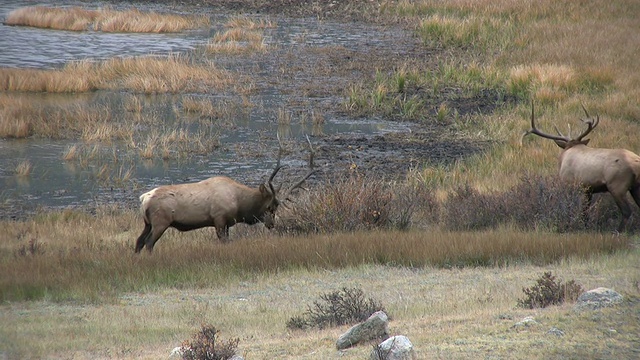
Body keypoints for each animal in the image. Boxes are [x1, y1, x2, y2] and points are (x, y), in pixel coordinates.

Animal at [134, 136, 316, 253]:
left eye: (277, 207)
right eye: (269, 206)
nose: (271, 224)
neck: (239, 203)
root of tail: (144, 199)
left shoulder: (227, 223)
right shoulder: (219, 219)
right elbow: (224, 242)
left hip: (147, 223)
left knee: (139, 242)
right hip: (160, 222)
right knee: (149, 243)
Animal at [524, 101, 640, 232]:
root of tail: (636, 164)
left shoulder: (571, 185)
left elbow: (578, 210)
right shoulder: (588, 190)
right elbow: (586, 211)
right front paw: (585, 225)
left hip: (617, 186)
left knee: (626, 211)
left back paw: (617, 231)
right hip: (636, 186)